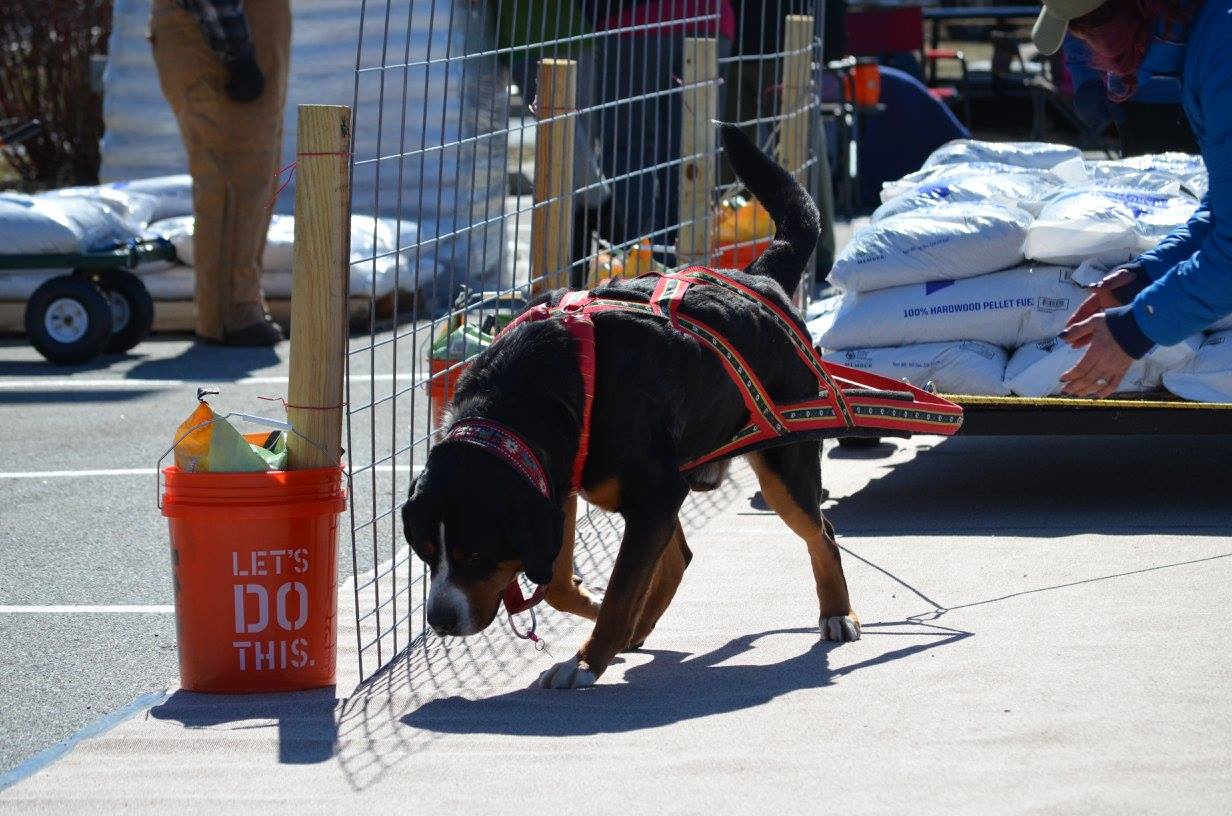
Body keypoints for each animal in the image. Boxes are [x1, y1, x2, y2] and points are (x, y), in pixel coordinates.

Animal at [404, 124, 857, 690]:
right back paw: (641, 628)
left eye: (477, 555)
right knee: (678, 555)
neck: (522, 396)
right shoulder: (562, 484)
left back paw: (836, 613)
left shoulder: (648, 490)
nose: (440, 618)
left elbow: (621, 589)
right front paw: (600, 621)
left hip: (780, 464)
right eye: (425, 552)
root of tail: (759, 280)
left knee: (822, 533)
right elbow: (563, 583)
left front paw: (585, 660)